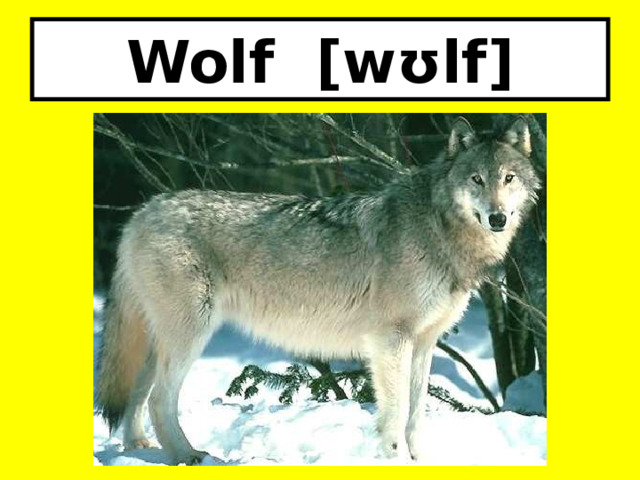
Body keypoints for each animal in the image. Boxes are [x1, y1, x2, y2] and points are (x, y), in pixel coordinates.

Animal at [95, 117, 540, 465]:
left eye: (508, 179)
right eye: (476, 179)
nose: (498, 218)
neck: (438, 227)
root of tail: (143, 211)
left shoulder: (425, 342)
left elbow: (416, 415)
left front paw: (421, 461)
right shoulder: (390, 339)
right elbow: (396, 412)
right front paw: (394, 458)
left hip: (161, 340)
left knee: (138, 393)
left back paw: (139, 449)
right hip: (191, 335)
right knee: (159, 398)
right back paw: (188, 456)